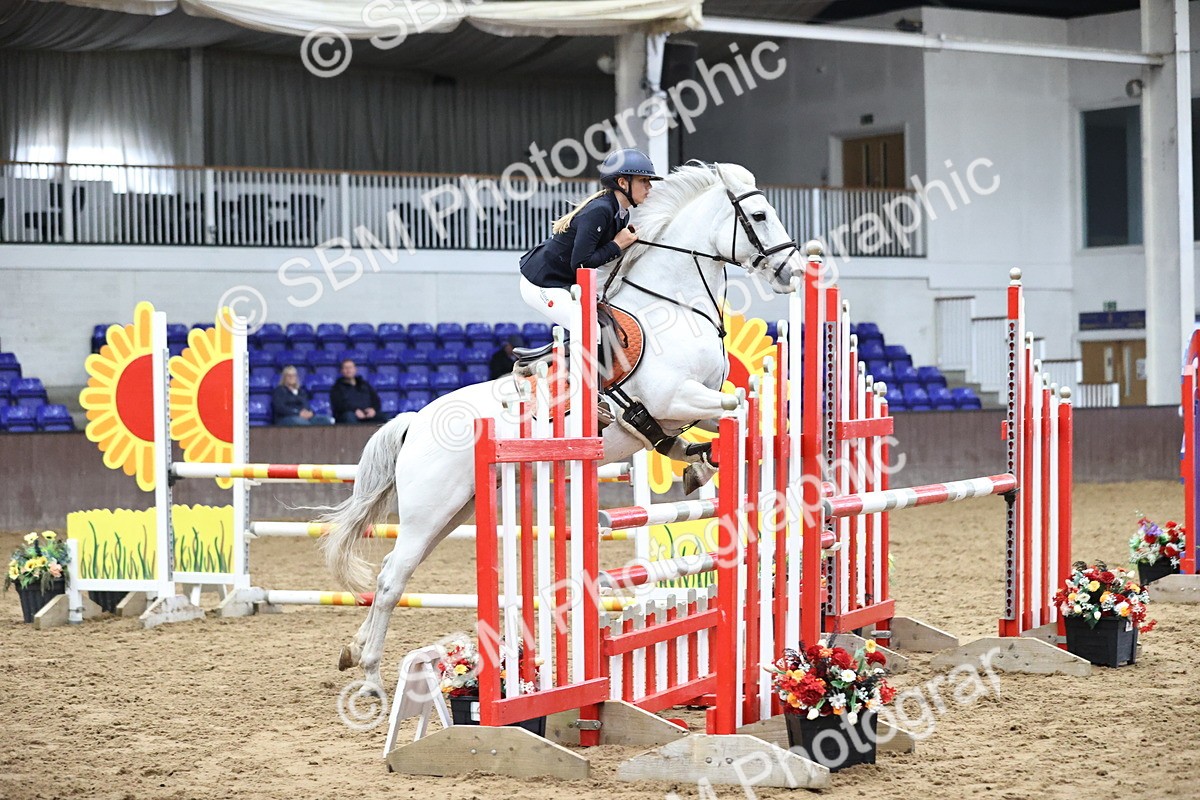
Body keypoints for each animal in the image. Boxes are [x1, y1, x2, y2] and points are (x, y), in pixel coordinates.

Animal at [320, 162, 801, 695]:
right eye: (760, 215)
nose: (791, 269)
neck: (677, 305)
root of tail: (416, 422)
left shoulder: (689, 407)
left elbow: (732, 416)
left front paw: (698, 463)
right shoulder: (674, 396)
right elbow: (735, 404)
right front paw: (701, 463)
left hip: (453, 510)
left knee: (394, 569)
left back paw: (353, 651)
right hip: (431, 508)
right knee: (390, 581)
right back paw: (371, 678)